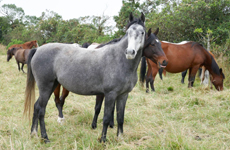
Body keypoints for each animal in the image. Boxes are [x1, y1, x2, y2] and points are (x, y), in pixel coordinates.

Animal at [23, 12, 167, 142]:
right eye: (128, 32)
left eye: (142, 33)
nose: (130, 52)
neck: (120, 60)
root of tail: (38, 50)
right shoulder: (110, 94)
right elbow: (106, 118)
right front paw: (103, 140)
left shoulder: (123, 95)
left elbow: (120, 118)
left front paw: (120, 138)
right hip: (46, 87)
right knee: (41, 110)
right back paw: (45, 137)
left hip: (52, 86)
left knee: (36, 107)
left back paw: (33, 134)